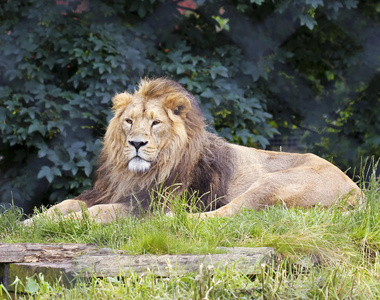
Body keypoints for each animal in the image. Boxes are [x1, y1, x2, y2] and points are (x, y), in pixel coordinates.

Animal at [24, 78, 362, 224]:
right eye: (129, 121)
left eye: (156, 123)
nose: (136, 144)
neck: (134, 175)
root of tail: (357, 192)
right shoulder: (108, 191)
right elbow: (67, 203)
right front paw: (31, 222)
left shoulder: (148, 203)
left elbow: (95, 212)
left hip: (270, 184)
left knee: (226, 215)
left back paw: (173, 221)